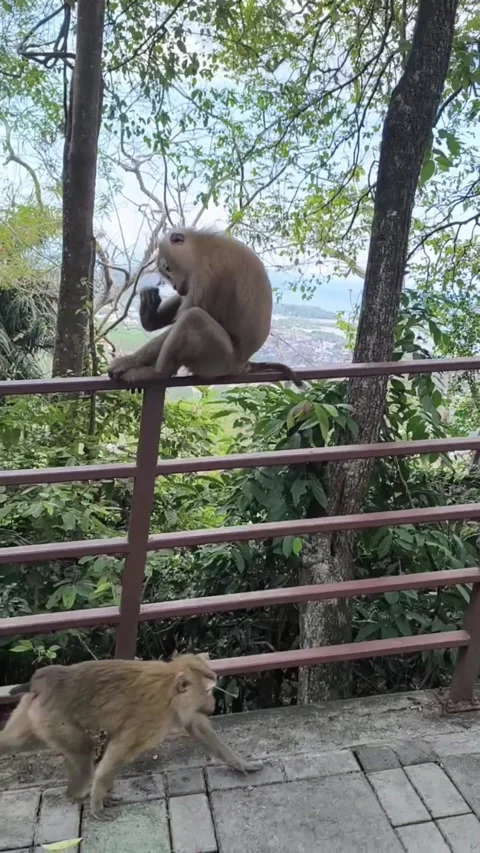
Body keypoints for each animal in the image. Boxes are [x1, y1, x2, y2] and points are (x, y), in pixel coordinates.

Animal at [0, 653, 262, 821]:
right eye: (207, 691)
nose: (212, 704)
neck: (170, 689)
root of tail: (41, 681)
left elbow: (198, 727)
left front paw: (240, 764)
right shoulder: (152, 717)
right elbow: (118, 751)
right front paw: (97, 800)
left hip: (32, 711)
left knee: (12, 740)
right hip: (53, 719)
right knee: (84, 749)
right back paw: (78, 796)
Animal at [107, 228, 304, 388]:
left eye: (168, 268)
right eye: (166, 273)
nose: (175, 286)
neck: (201, 248)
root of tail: (242, 365)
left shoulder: (206, 275)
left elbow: (187, 314)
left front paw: (128, 362)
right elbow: (184, 300)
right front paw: (150, 317)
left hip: (219, 360)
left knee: (193, 317)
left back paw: (158, 374)